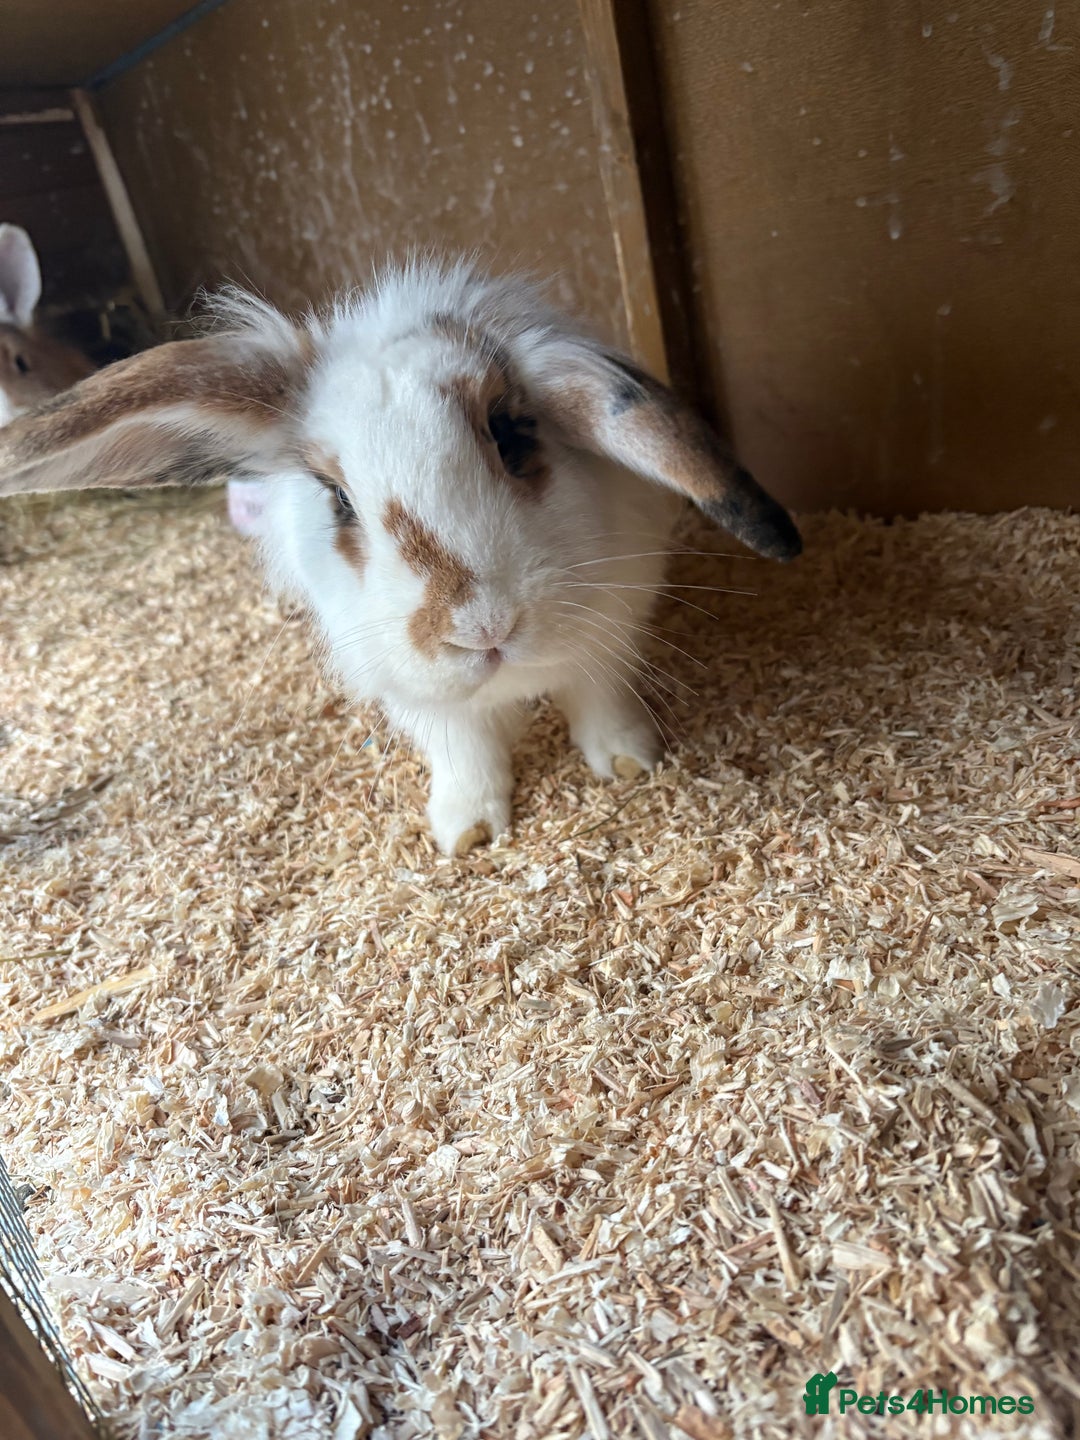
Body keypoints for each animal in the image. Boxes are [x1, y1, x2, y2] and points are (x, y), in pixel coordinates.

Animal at [0, 258, 801, 854]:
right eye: (338, 500)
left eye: (511, 433)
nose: (481, 627)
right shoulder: (416, 697)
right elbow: (464, 752)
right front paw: (466, 833)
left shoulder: (609, 635)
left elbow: (599, 701)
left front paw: (631, 764)